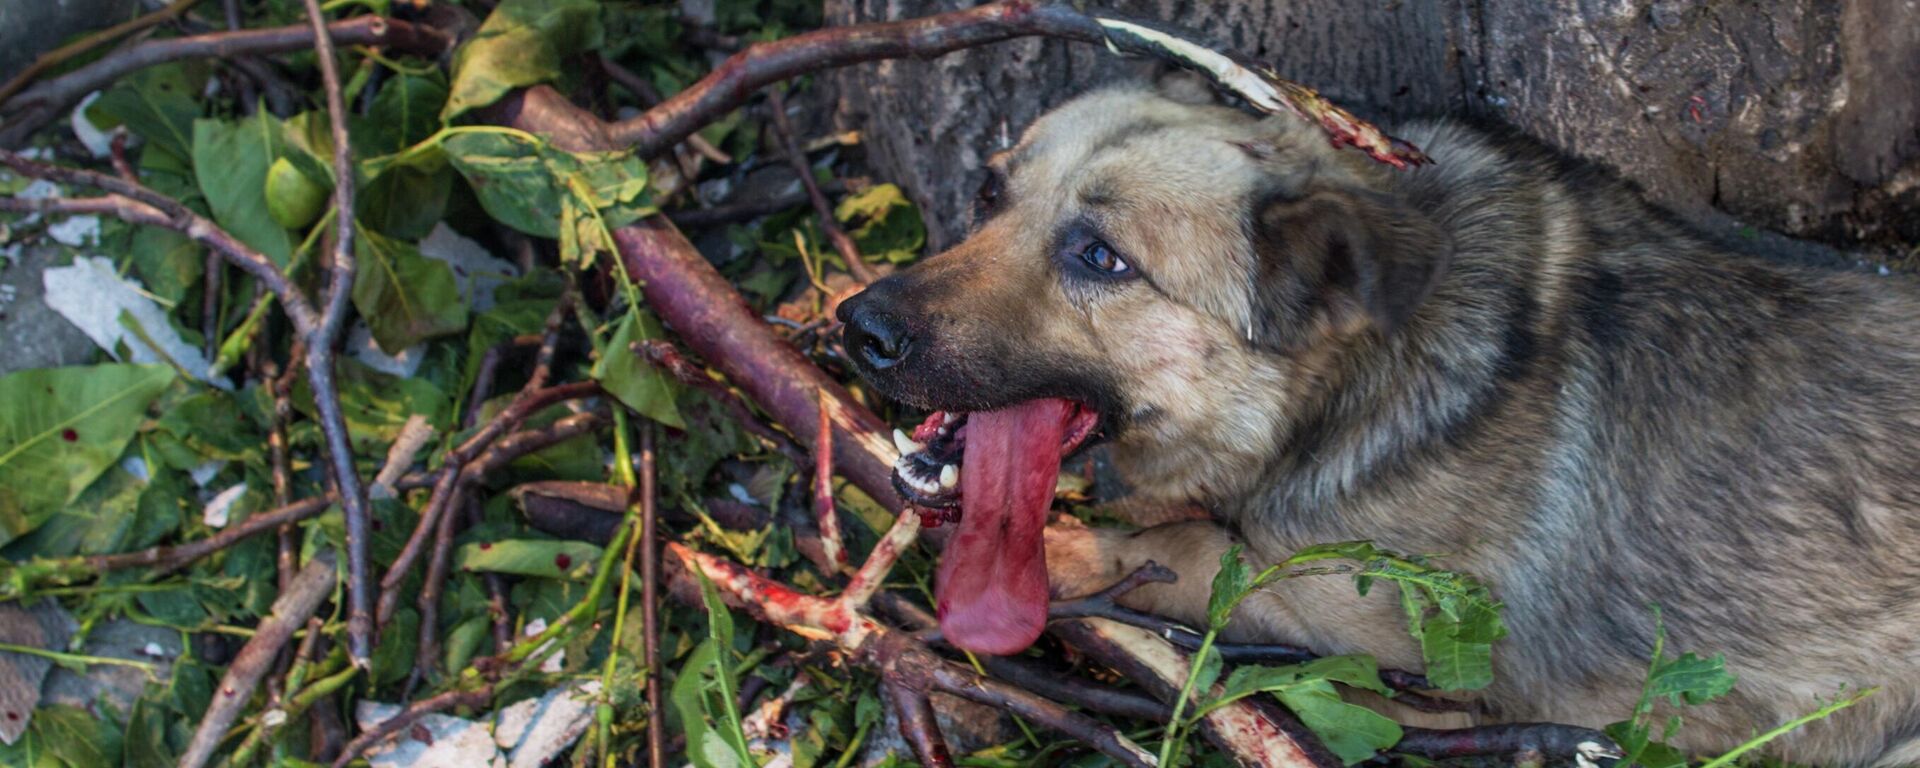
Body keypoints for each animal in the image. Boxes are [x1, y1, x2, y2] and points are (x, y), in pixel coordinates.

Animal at [837, 81, 1920, 764]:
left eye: (1101, 256)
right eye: (989, 191)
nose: (859, 327)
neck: (1342, 385)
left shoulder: (1401, 647)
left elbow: (1204, 557)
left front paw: (1074, 551)